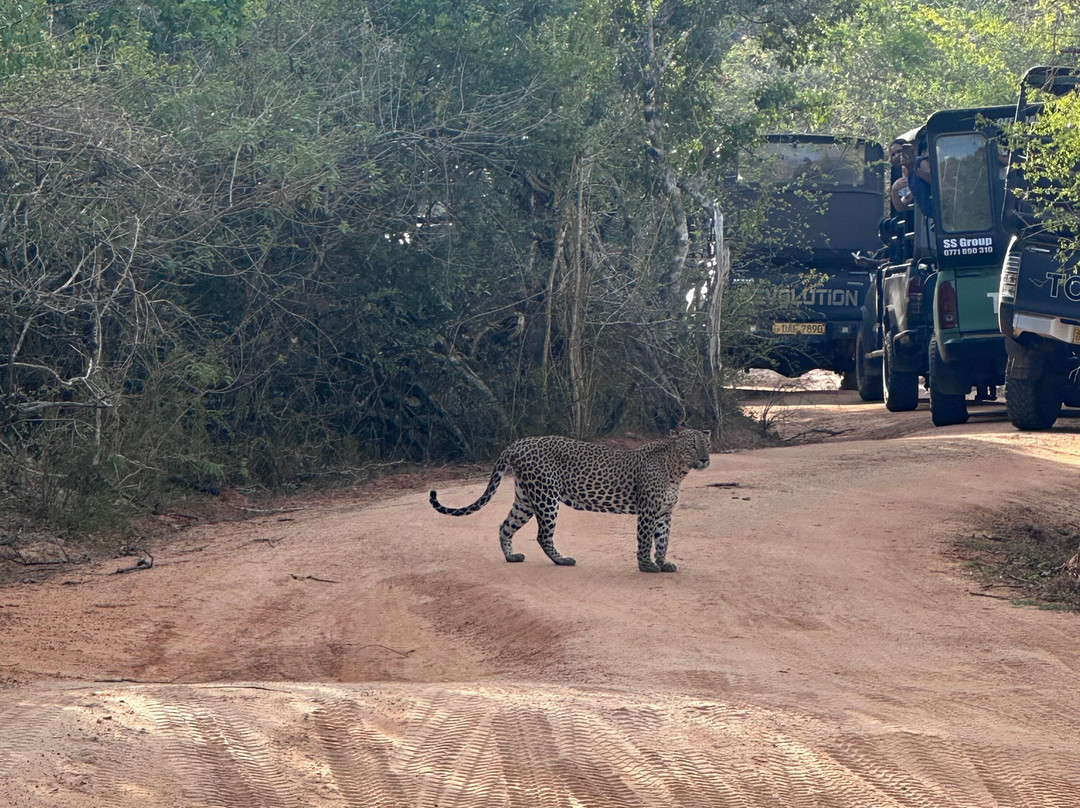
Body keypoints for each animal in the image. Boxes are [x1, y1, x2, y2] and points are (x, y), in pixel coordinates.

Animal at [429, 427, 711, 572]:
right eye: (692, 446)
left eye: (706, 444)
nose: (706, 458)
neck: (677, 471)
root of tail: (517, 444)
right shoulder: (648, 511)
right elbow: (644, 540)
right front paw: (647, 566)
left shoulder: (664, 513)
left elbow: (662, 540)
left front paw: (663, 563)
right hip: (546, 496)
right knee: (543, 535)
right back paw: (563, 560)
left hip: (525, 498)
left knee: (505, 526)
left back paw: (512, 557)